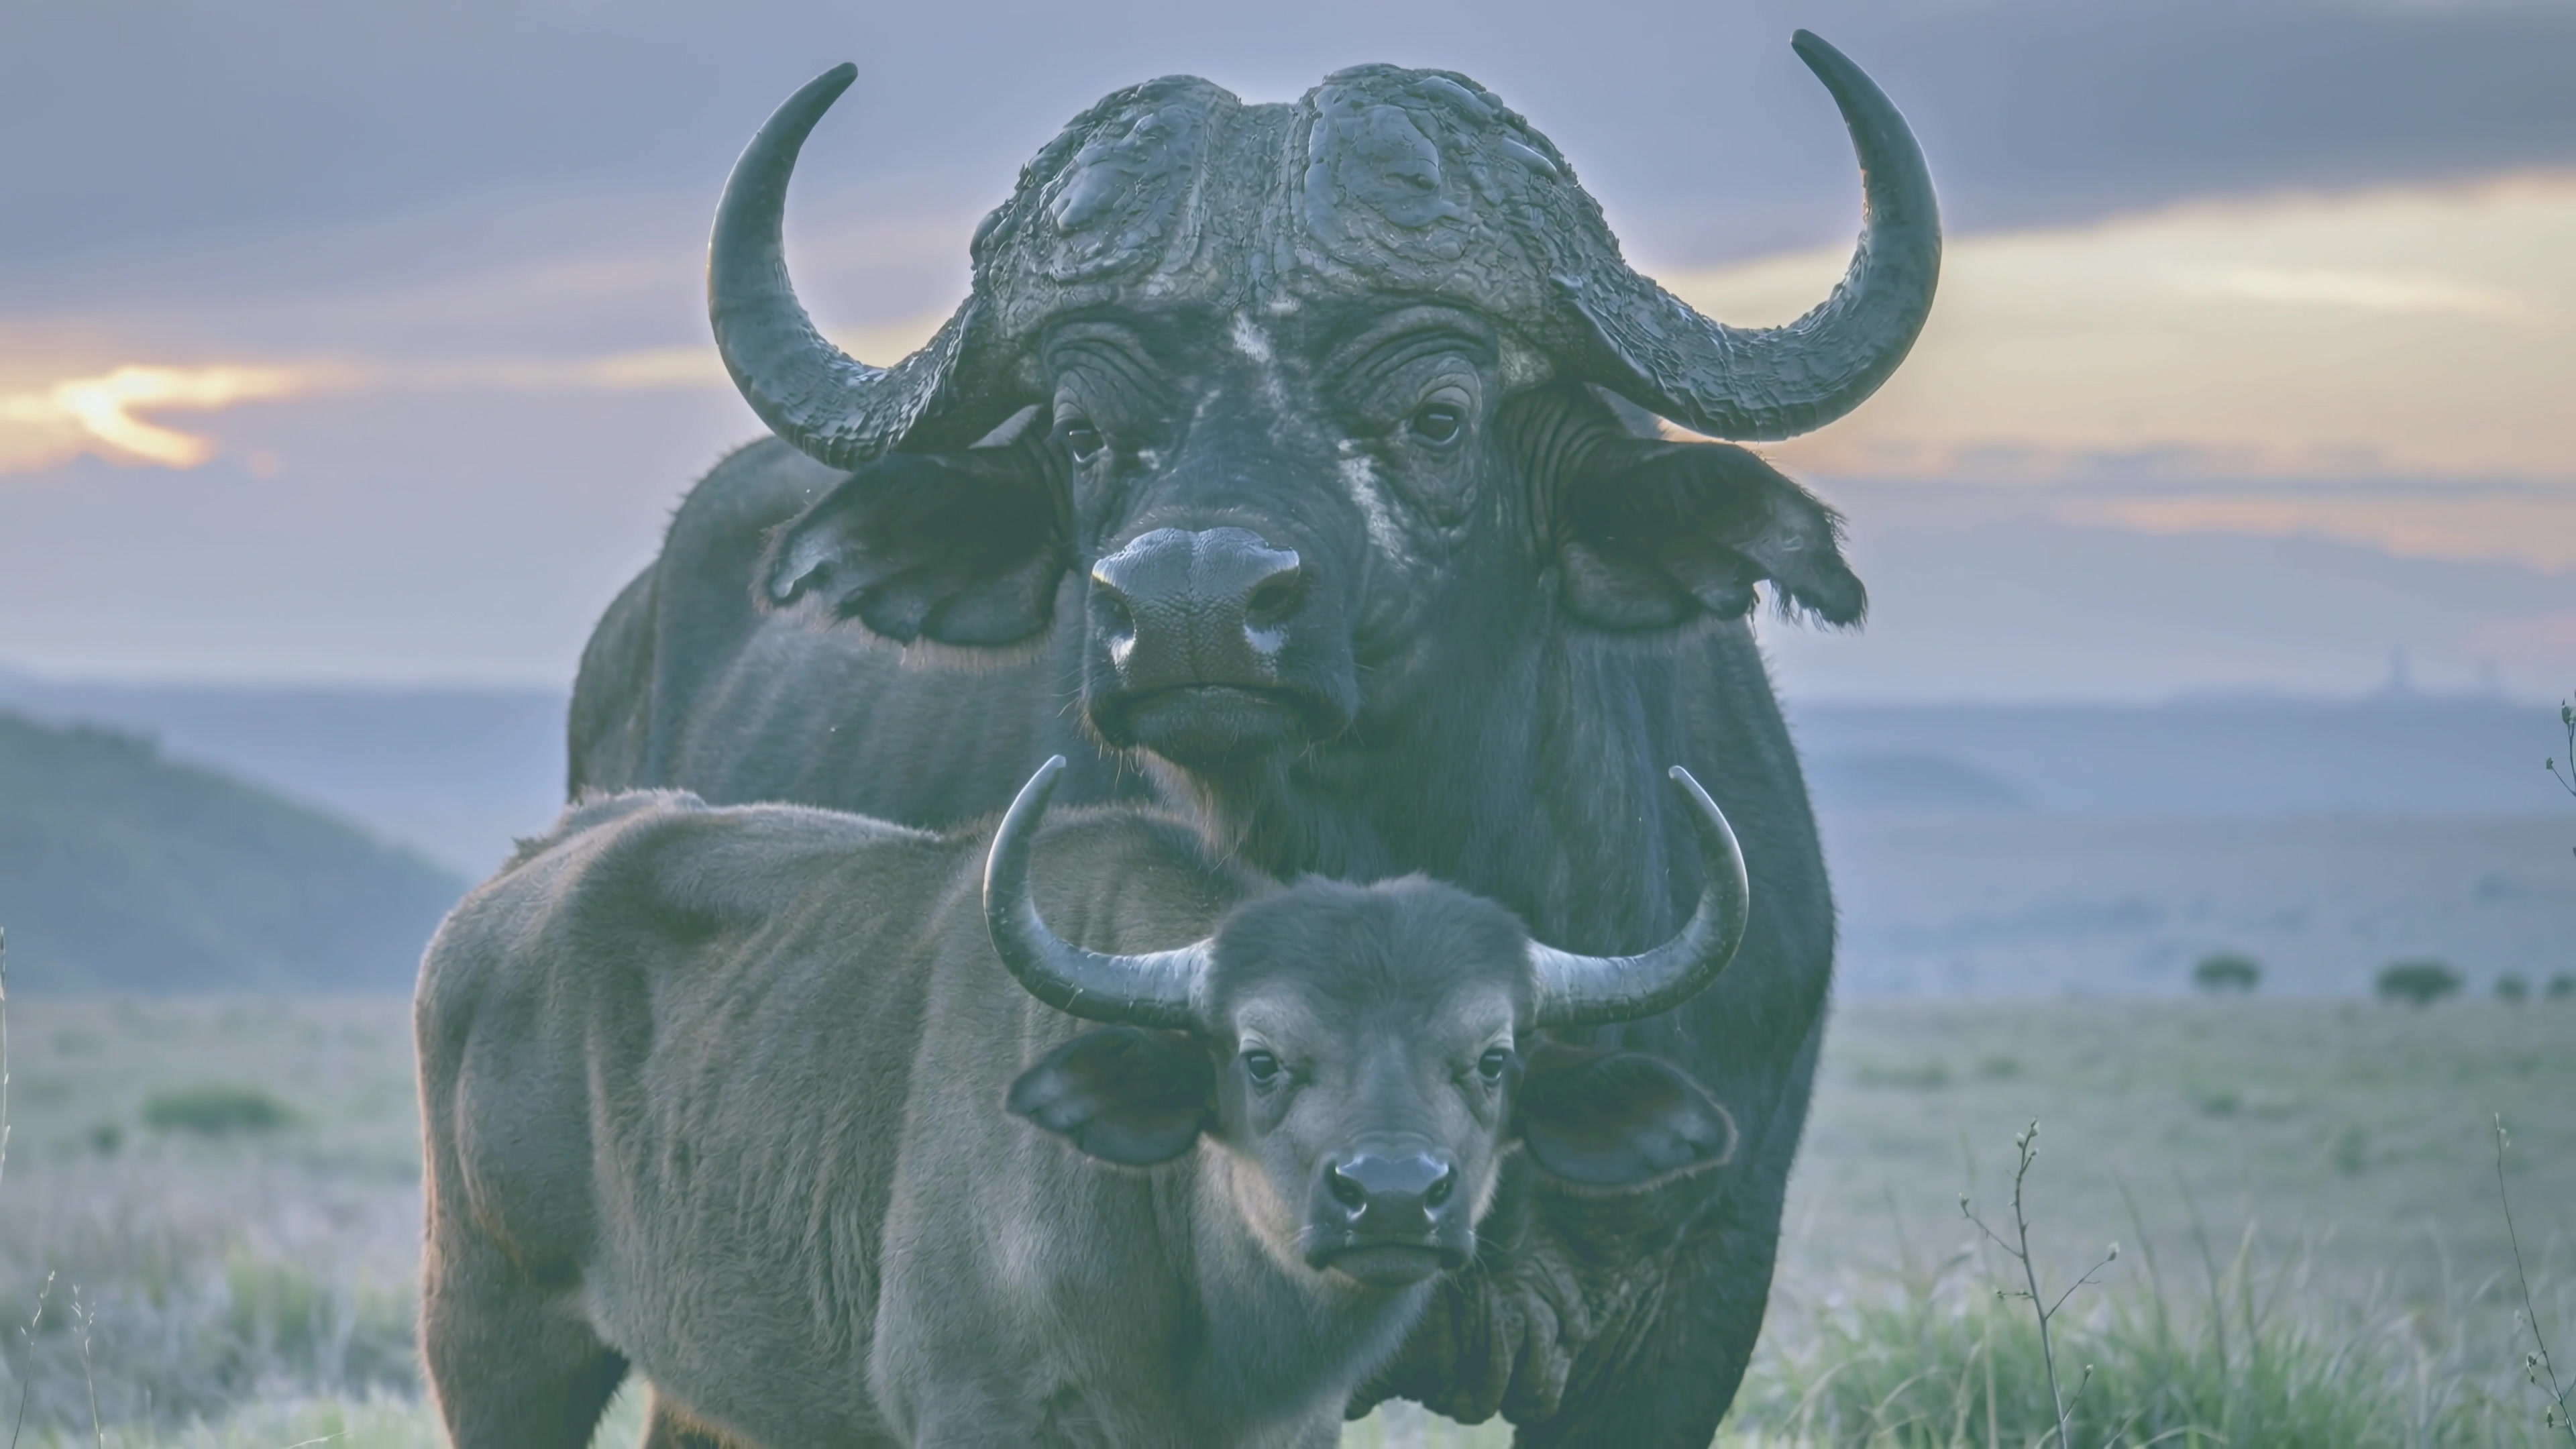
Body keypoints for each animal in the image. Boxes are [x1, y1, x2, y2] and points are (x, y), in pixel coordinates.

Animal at [416, 759, 1749, 1447]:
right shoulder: (972, 1411)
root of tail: (523, 879)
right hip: (491, 1346)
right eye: (1261, 1057)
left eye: (1494, 1057)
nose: (1390, 1198)